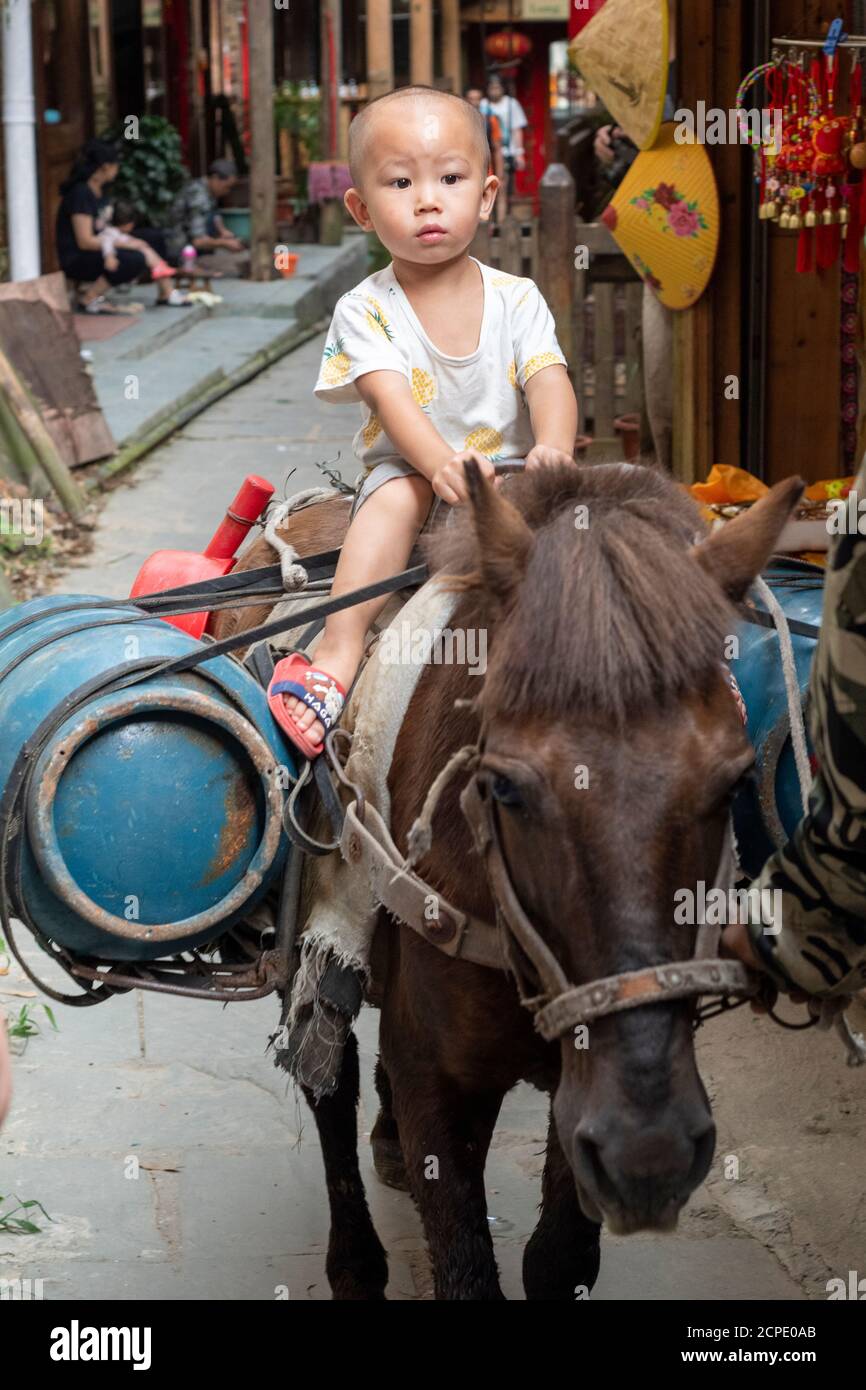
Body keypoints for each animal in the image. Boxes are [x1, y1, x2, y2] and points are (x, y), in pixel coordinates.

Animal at [229, 461, 800, 1295]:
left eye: (733, 785)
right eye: (504, 787)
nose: (652, 1149)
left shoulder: (583, 1085)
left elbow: (557, 1257)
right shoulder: (441, 1082)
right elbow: (465, 1264)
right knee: (325, 1067)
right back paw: (355, 1261)